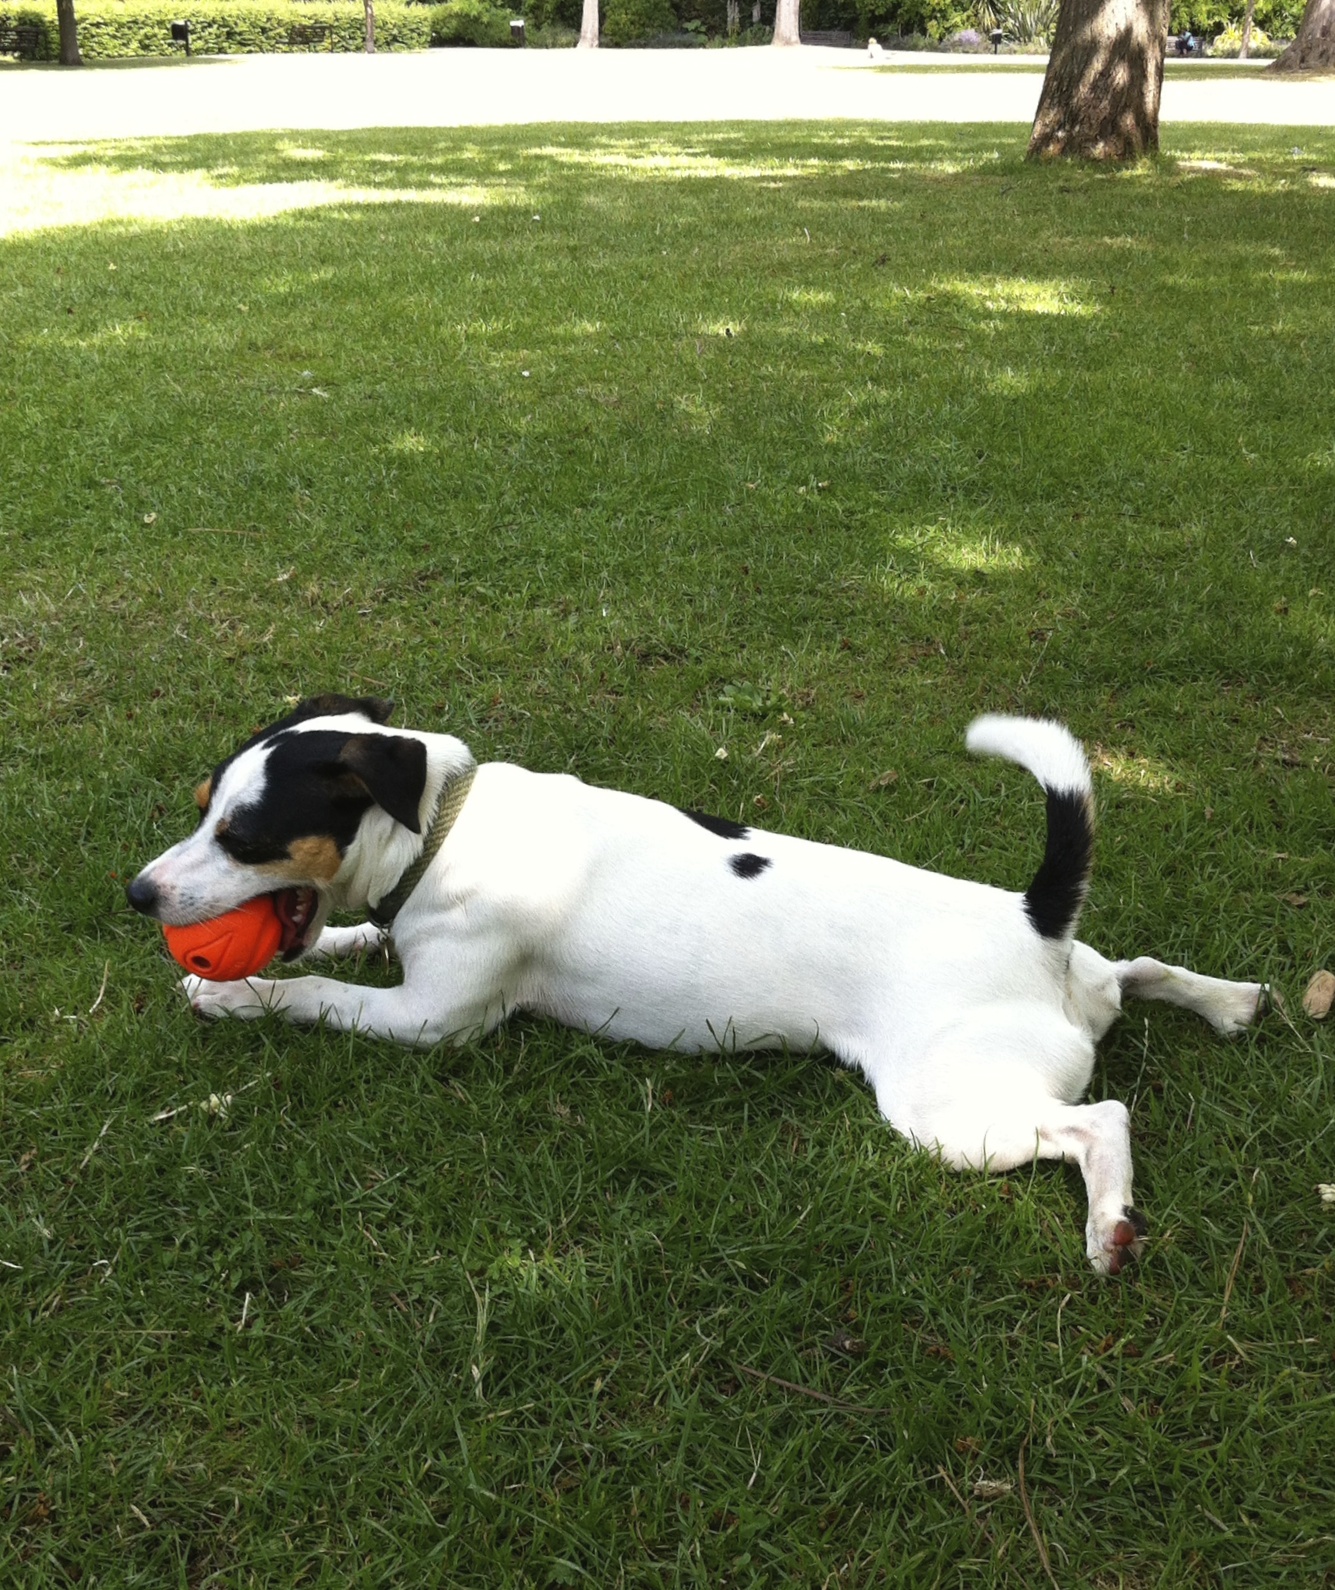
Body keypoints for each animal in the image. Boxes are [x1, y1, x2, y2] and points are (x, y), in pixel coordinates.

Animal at [125, 696, 1265, 1278]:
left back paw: (1108, 1222)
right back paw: (1230, 1000)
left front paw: (230, 1000)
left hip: (950, 1113)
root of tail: (1036, 926)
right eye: (202, 807)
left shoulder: (430, 1022)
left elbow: (320, 995)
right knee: (1133, 972)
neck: (441, 825)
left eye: (243, 835)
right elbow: (353, 940)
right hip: (1066, 1006)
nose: (139, 894)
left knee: (1101, 1118)